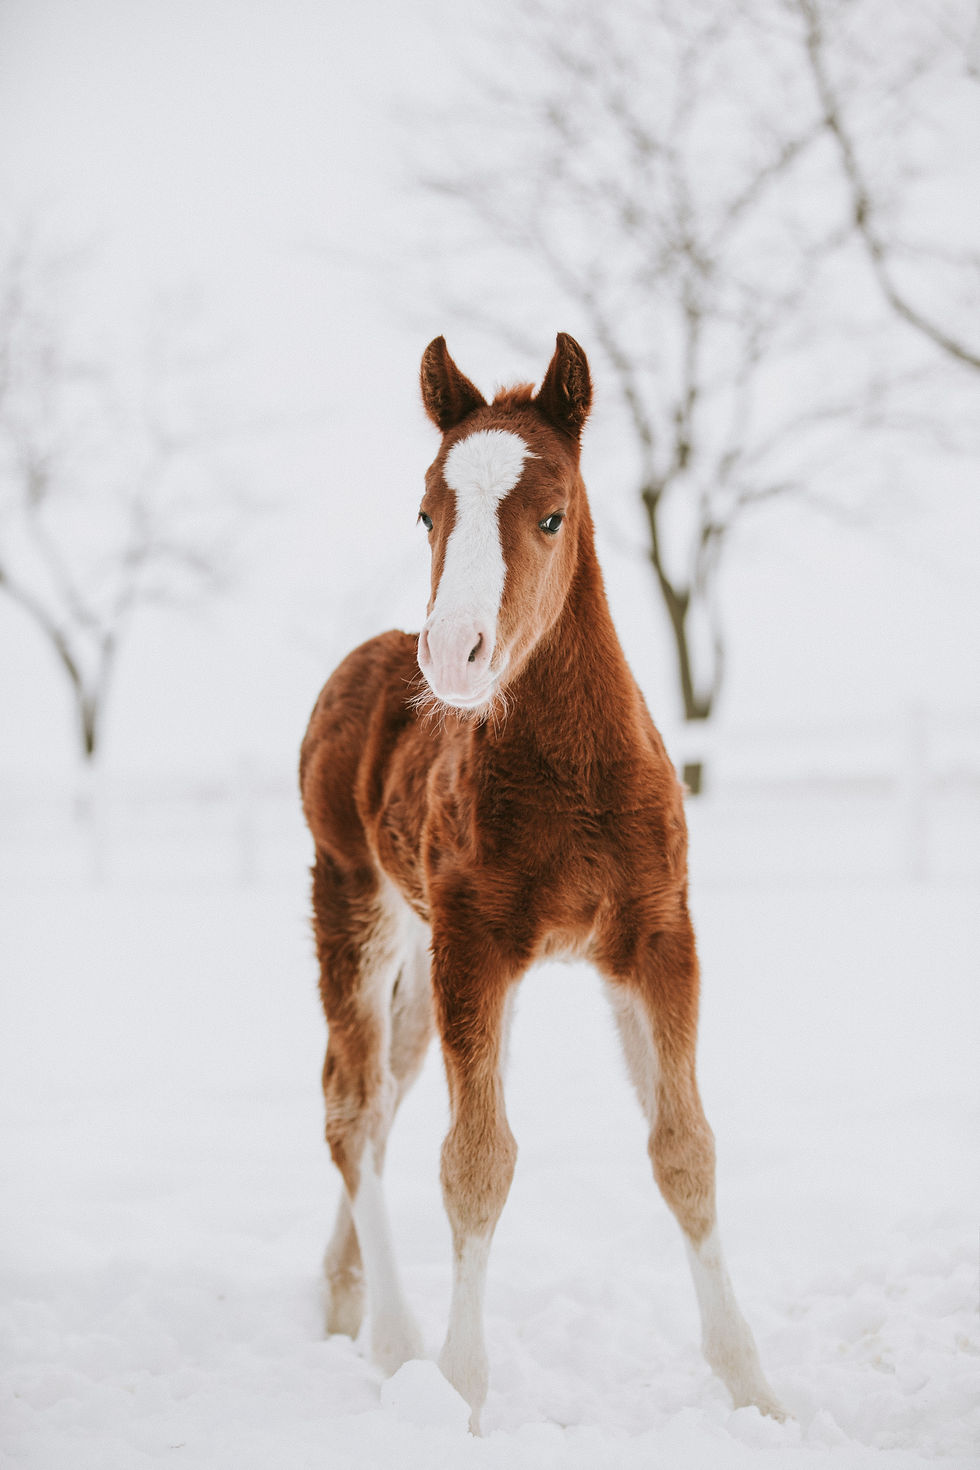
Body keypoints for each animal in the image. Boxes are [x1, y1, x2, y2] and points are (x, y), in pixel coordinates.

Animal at [299, 333, 782, 1431]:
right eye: (425, 513)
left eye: (551, 514)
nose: (452, 655)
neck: (571, 774)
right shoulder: (476, 945)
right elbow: (476, 1163)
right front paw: (463, 1398)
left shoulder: (656, 940)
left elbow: (684, 1150)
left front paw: (757, 1395)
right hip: (357, 907)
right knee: (352, 1106)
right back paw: (395, 1343)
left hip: (426, 965)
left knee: (384, 1100)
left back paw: (342, 1306)